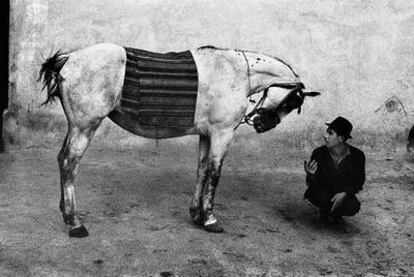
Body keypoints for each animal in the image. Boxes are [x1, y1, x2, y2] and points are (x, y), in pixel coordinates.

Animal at [38, 42, 320, 235]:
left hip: (75, 126)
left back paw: (66, 213)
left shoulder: (206, 134)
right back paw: (75, 222)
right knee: (70, 164)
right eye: (293, 101)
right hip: (85, 126)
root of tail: (69, 59)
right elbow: (215, 174)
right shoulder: (222, 134)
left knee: (62, 160)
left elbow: (202, 171)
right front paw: (210, 219)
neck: (237, 72)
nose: (262, 124)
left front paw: (196, 214)